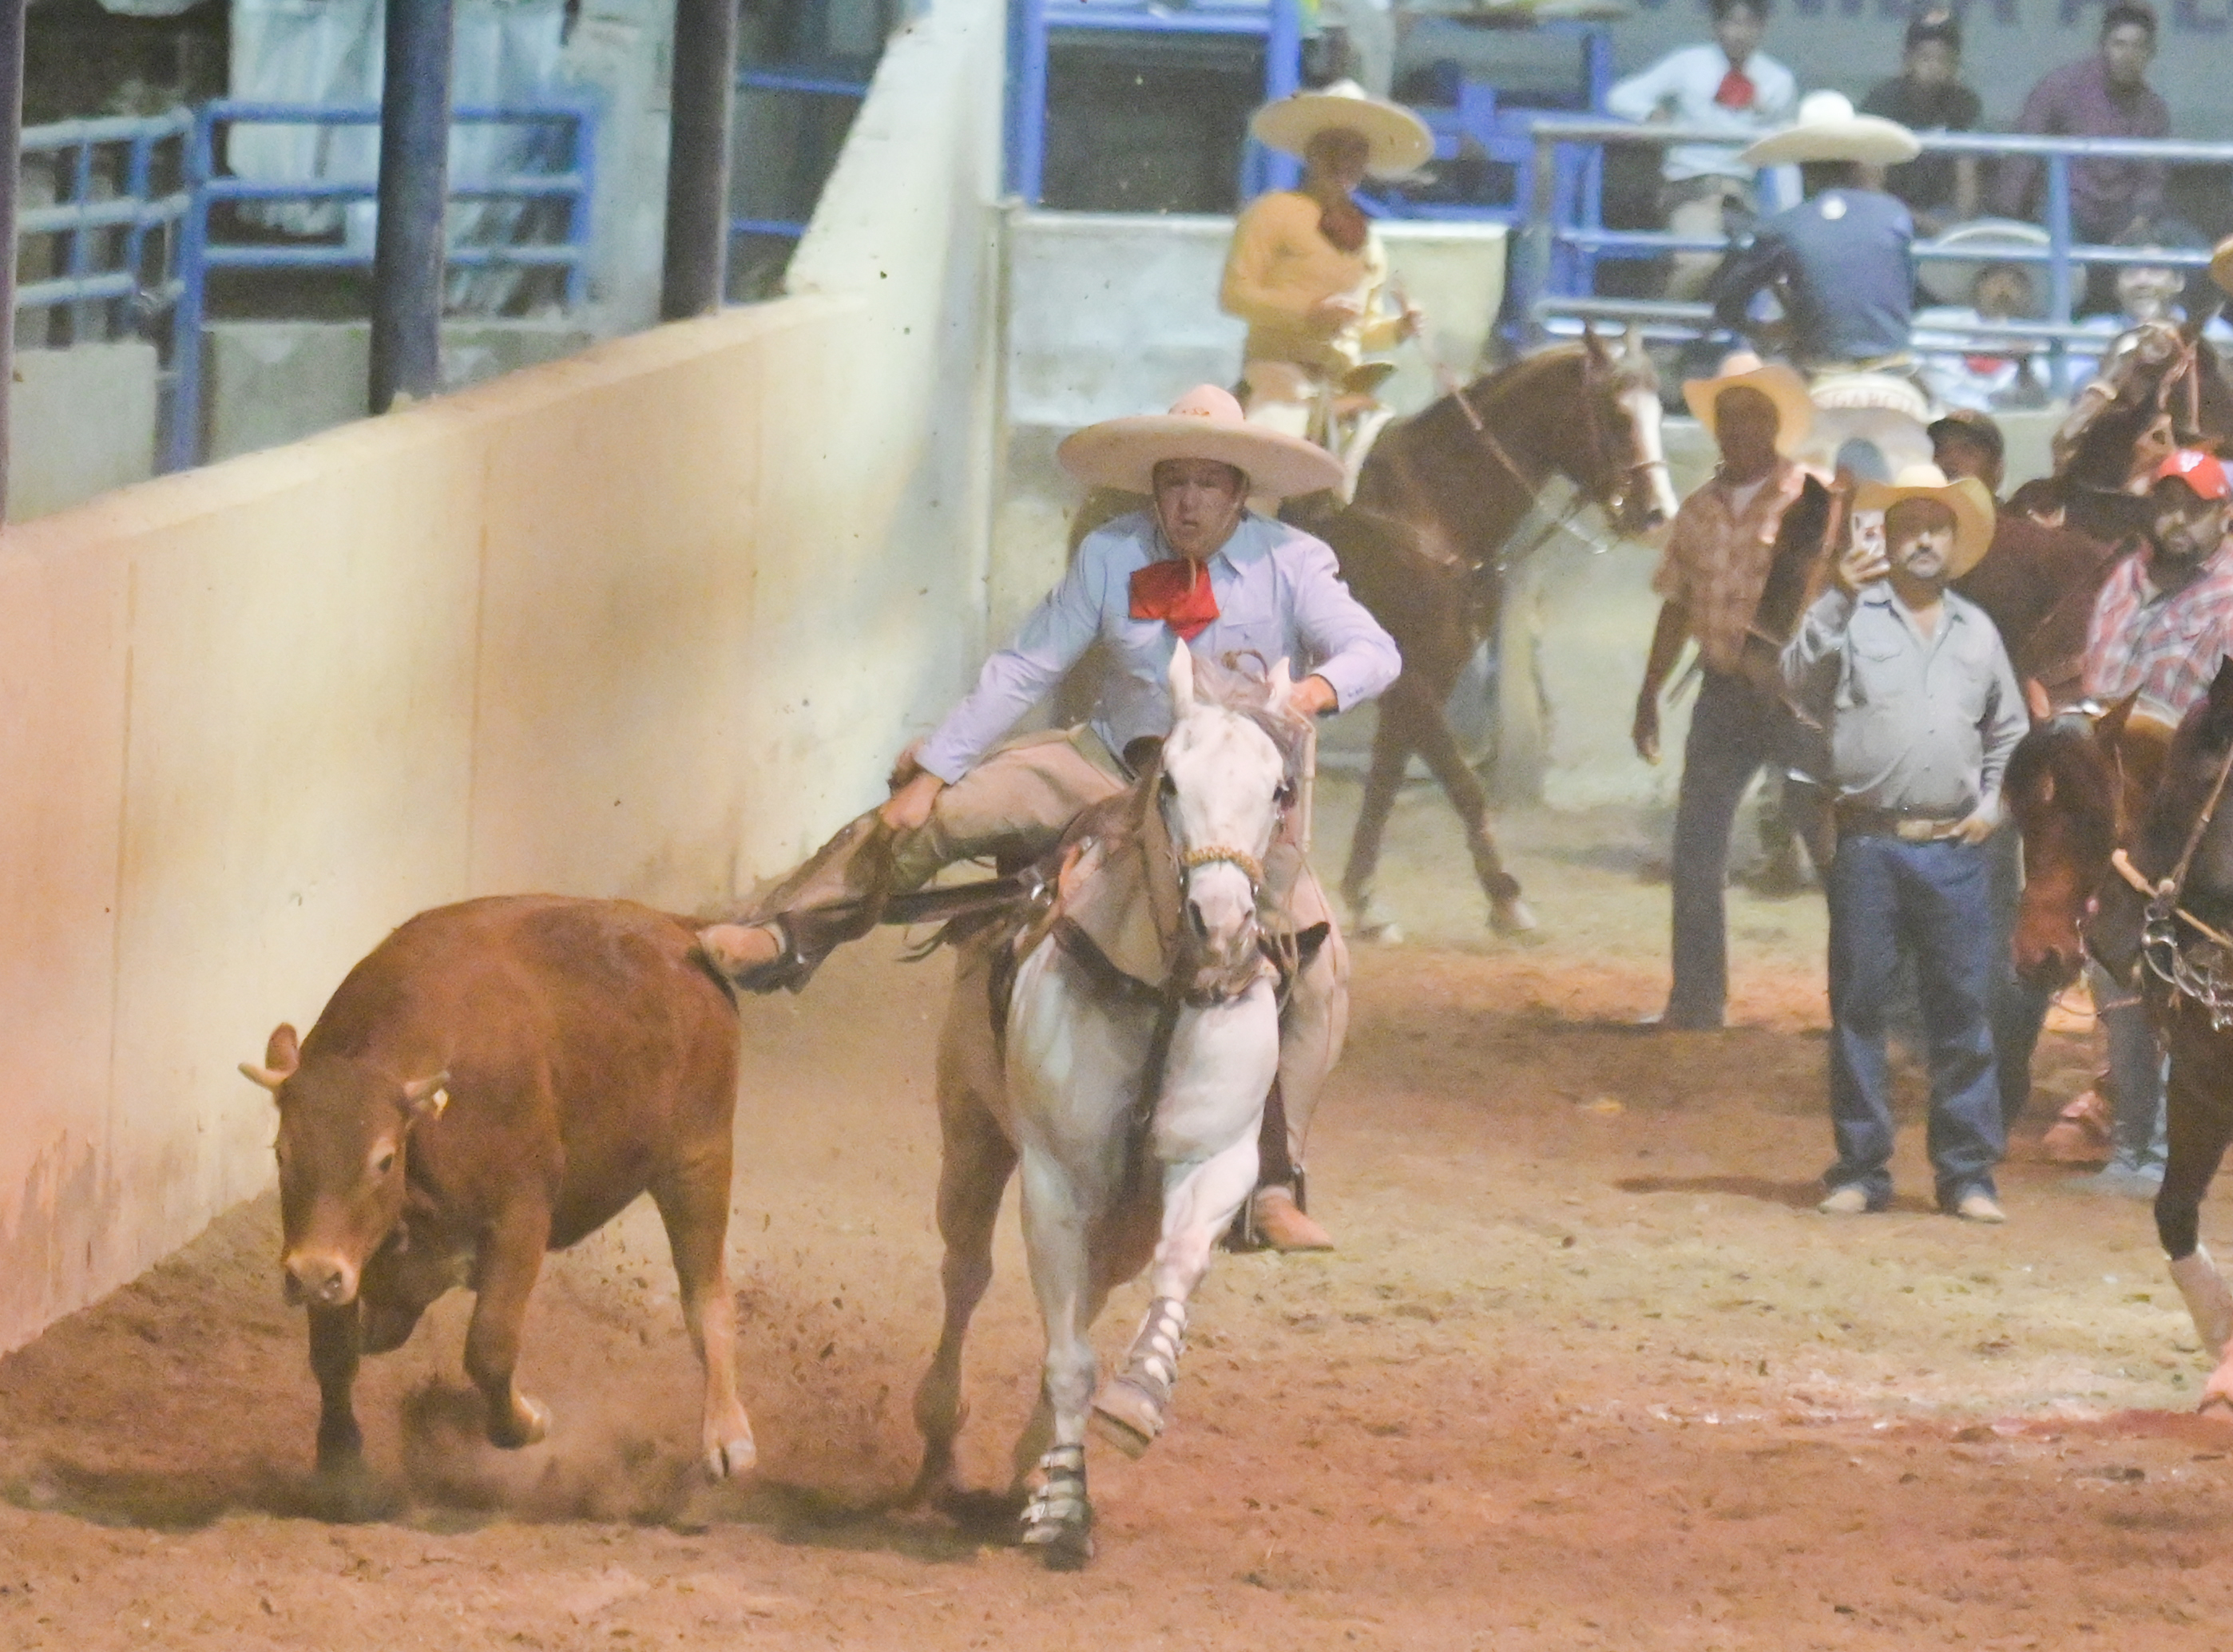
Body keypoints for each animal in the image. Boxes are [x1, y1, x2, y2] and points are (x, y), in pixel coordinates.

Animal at [906, 643, 1322, 1563]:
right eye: (1169, 779)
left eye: (1279, 788)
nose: (1220, 920)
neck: (1164, 993)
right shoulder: (1056, 1179)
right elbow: (1065, 1355)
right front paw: (1065, 1506)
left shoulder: (1213, 1162)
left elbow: (1176, 1271)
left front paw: (1135, 1399)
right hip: (970, 1135)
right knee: (964, 1272)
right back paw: (944, 1434)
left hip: (1120, 1217)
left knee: (1091, 1293)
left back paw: (1024, 1464)